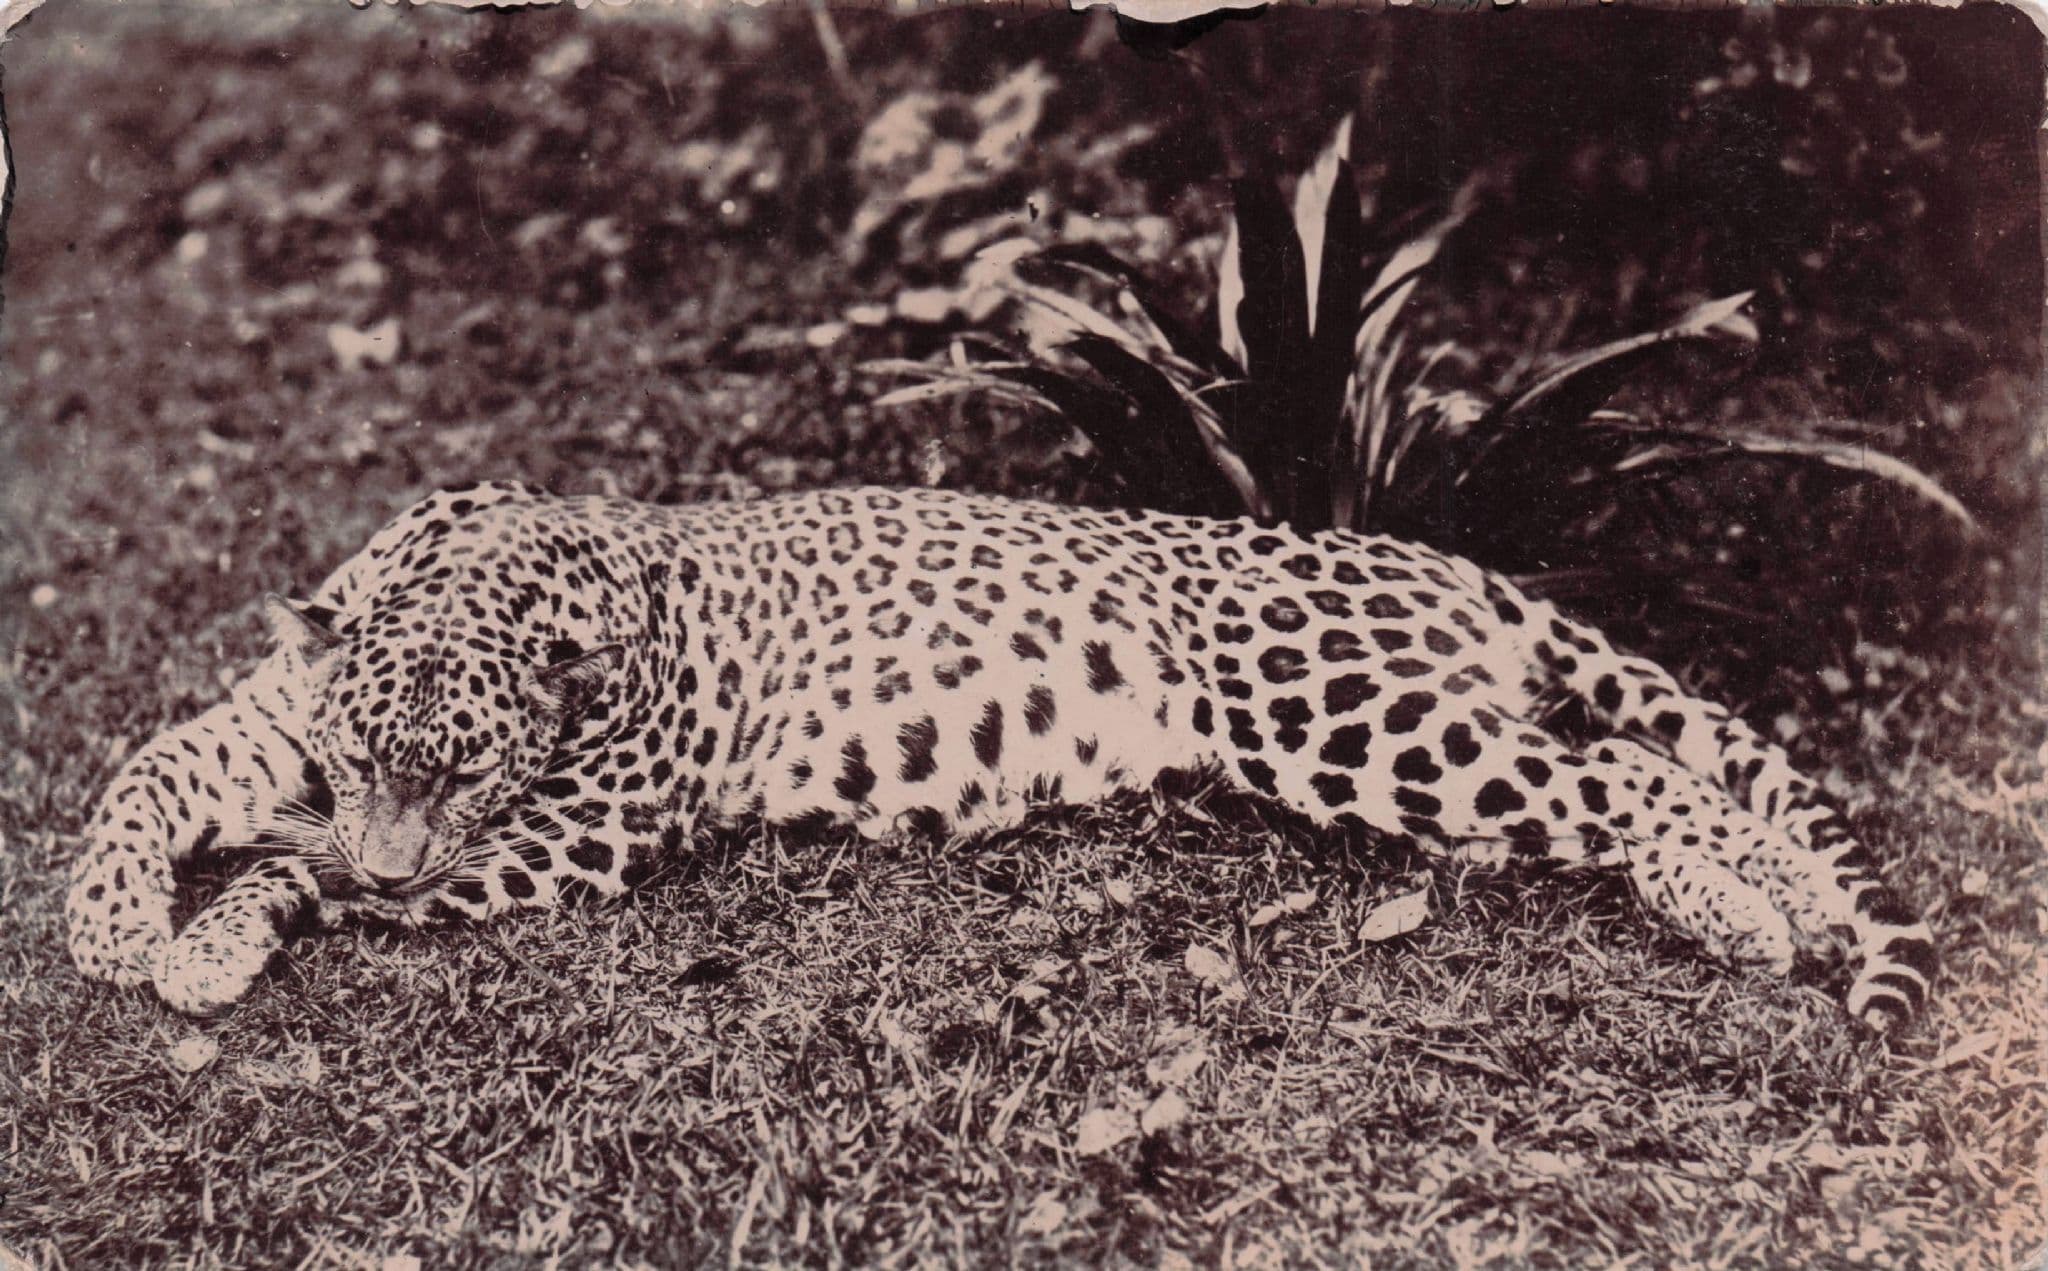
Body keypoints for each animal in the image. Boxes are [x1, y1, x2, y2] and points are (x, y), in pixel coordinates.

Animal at [65, 481, 1935, 1029]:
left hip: (1347, 717)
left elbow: (309, 874)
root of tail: (1442, 562)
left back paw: (1761, 917)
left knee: (1623, 778)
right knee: (1633, 777)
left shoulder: (565, 841)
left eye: (465, 772)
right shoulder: (272, 722)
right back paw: (1780, 914)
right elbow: (152, 772)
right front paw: (109, 918)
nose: (404, 838)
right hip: (1417, 738)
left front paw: (207, 943)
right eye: (375, 748)